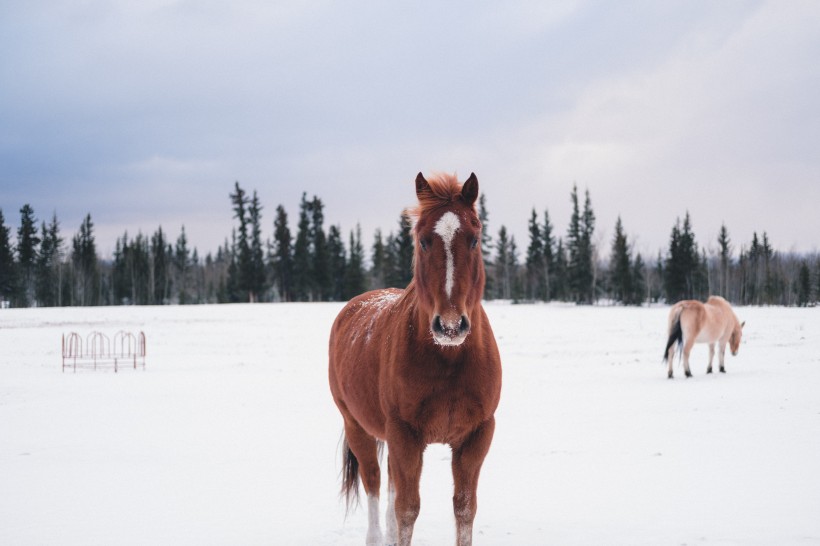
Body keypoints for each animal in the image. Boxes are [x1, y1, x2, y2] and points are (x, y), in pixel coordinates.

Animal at [326, 172, 500, 544]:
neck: (449, 361)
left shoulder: (477, 436)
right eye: (423, 241)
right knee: (375, 484)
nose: (450, 325)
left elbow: (464, 509)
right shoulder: (405, 436)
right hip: (357, 427)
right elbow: (407, 511)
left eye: (475, 239)